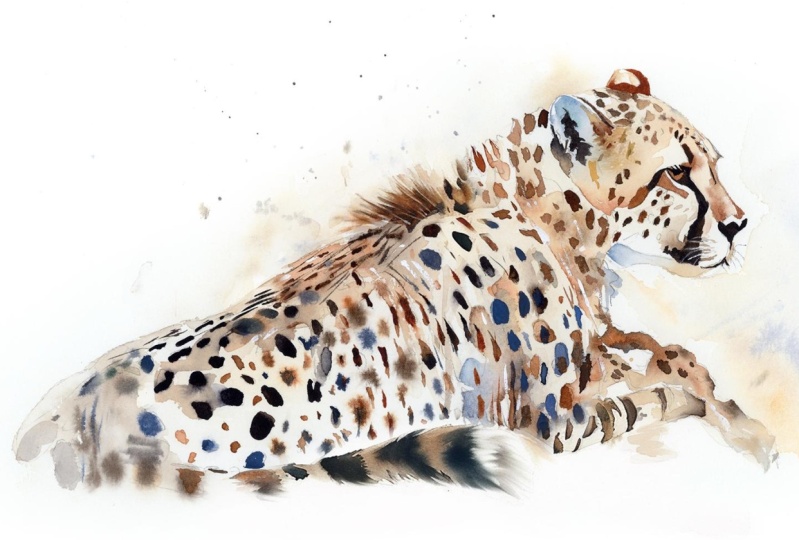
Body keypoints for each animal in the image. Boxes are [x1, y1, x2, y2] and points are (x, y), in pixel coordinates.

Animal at [13, 68, 774, 495]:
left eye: (712, 163)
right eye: (676, 173)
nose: (739, 224)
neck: (548, 217)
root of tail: (67, 419)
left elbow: (655, 353)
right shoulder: (552, 422)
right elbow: (656, 393)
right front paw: (723, 415)